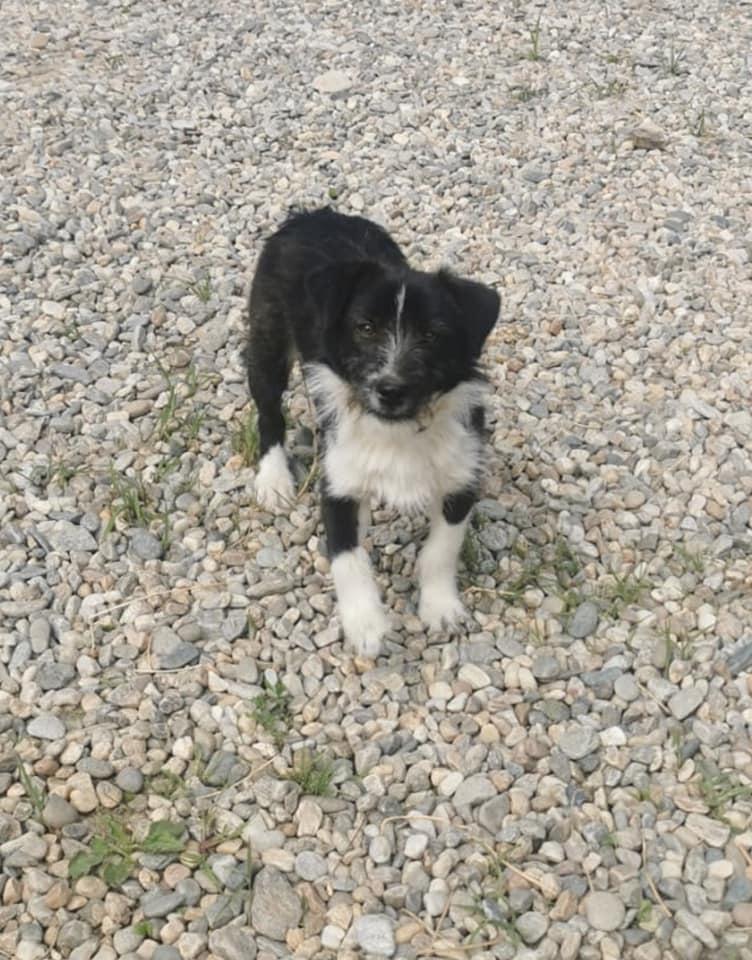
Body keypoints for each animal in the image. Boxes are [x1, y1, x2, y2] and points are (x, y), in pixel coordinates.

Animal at [245, 207, 499, 658]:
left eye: (432, 334)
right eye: (365, 327)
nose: (390, 389)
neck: (398, 431)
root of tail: (313, 213)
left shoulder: (462, 476)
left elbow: (441, 549)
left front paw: (440, 607)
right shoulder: (338, 483)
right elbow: (348, 558)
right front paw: (365, 624)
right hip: (267, 338)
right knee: (269, 414)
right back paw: (273, 479)